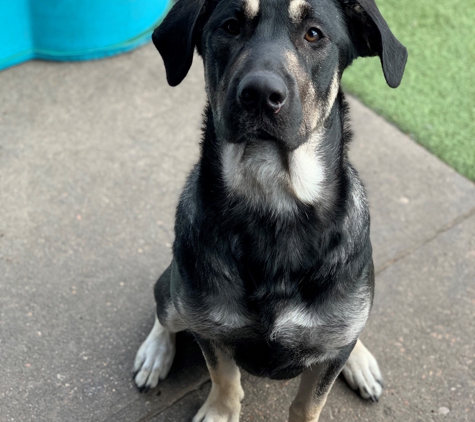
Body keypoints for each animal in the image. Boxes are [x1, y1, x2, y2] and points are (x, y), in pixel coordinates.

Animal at [134, 1, 410, 420]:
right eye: (230, 26)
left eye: (314, 34)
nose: (261, 94)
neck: (274, 201)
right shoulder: (210, 328)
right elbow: (225, 378)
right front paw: (221, 410)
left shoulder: (330, 345)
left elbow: (309, 401)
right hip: (176, 292)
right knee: (165, 309)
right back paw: (155, 352)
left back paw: (359, 359)